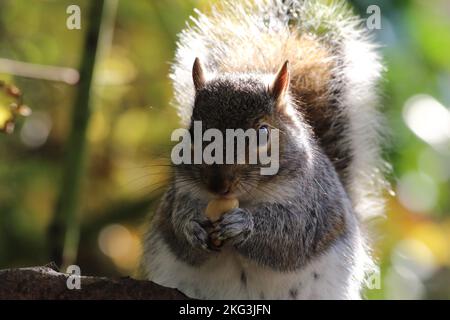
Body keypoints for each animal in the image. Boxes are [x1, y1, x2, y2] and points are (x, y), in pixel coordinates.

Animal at [141, 0, 386, 300]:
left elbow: (290, 236)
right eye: (191, 130)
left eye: (263, 132)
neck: (246, 198)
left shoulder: (312, 204)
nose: (218, 184)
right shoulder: (179, 195)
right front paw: (191, 228)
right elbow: (177, 226)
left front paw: (243, 224)